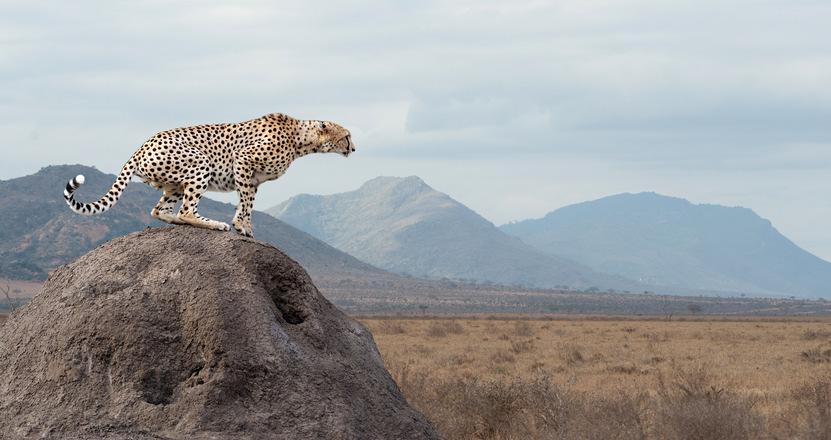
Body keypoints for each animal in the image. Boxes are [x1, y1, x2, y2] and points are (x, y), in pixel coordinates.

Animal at [61, 113, 354, 237]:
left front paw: (245, 226)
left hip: (174, 184)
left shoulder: (254, 179)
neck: (300, 139)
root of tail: (142, 145)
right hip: (200, 163)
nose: (354, 147)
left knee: (160, 210)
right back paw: (214, 224)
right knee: (186, 211)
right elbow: (245, 203)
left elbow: (248, 203)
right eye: (347, 136)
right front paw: (240, 226)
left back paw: (178, 222)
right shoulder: (243, 161)